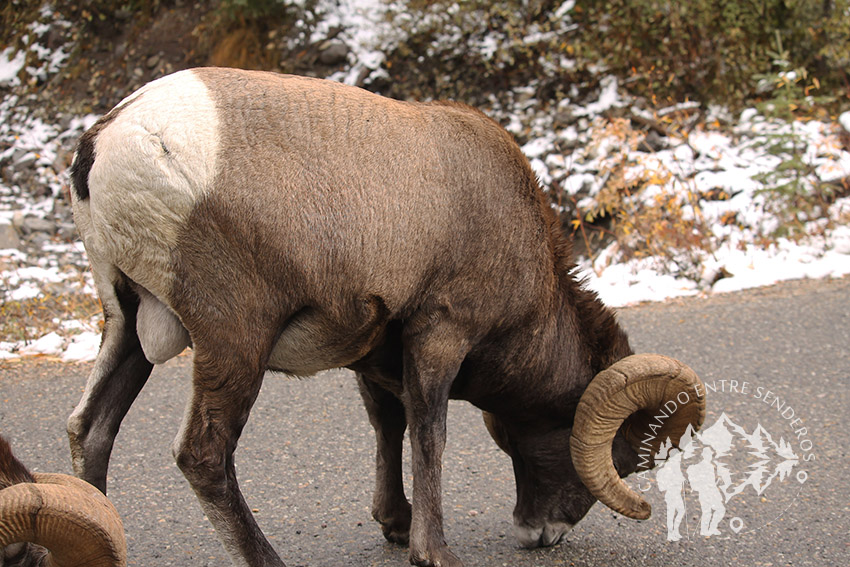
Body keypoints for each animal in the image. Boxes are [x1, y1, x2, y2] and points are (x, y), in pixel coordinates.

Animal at [64, 70, 704, 567]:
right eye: (624, 457)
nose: (541, 535)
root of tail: (107, 139)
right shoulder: (441, 333)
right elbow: (428, 432)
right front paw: (433, 550)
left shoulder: (374, 354)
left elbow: (387, 424)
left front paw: (396, 525)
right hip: (235, 342)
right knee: (203, 455)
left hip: (124, 324)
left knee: (91, 429)